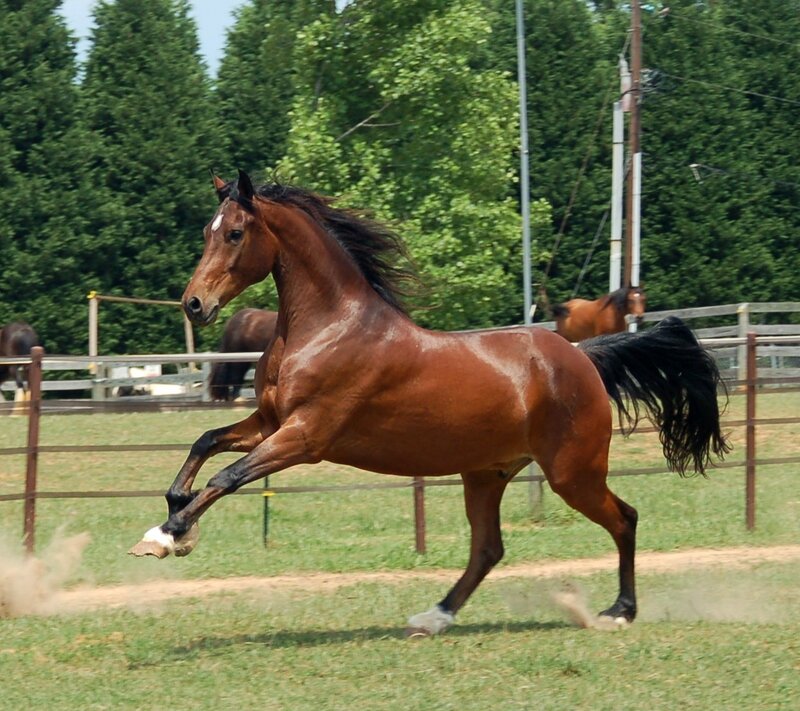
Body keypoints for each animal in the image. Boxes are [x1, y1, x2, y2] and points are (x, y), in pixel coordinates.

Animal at [130, 171, 729, 636]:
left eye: (234, 233)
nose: (194, 304)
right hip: (486, 474)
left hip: (571, 473)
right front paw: (173, 524)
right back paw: (433, 617)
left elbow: (226, 477)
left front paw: (166, 536)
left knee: (624, 519)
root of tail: (583, 358)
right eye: (207, 232)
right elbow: (204, 444)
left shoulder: (305, 435)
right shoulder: (269, 421)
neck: (328, 327)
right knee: (488, 549)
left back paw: (618, 612)